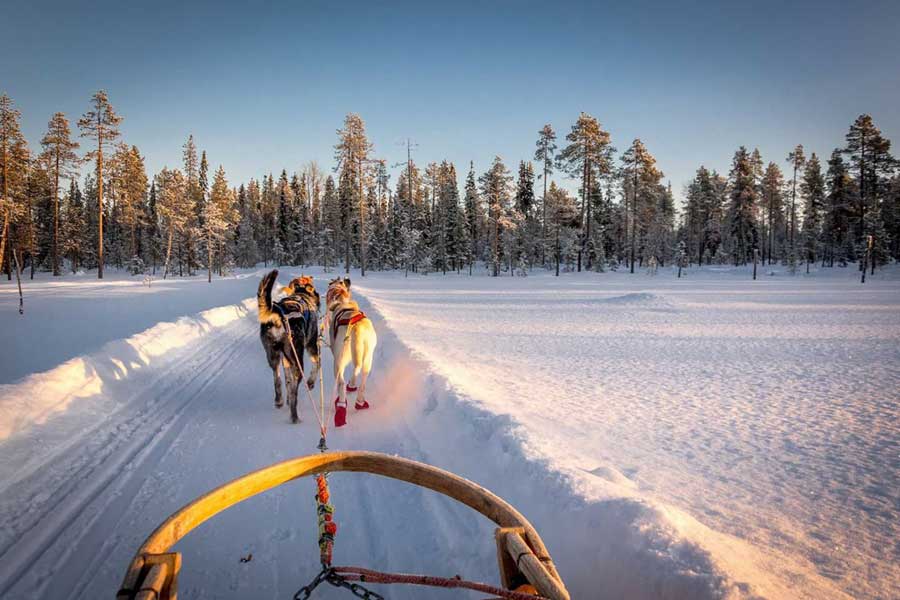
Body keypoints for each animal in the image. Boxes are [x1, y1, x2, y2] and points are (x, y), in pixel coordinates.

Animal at [256, 270, 320, 424]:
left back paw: (279, 400)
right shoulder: (312, 346)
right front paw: (311, 382)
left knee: (278, 379)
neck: (302, 294)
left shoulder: (286, 361)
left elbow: (287, 381)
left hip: (273, 356)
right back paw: (294, 417)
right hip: (298, 361)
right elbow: (317, 364)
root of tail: (279, 316)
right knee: (294, 393)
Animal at [324, 278, 376, 426]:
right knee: (361, 377)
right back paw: (359, 400)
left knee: (341, 383)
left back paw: (341, 406)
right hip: (367, 358)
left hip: (338, 361)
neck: (343, 302)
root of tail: (356, 327)